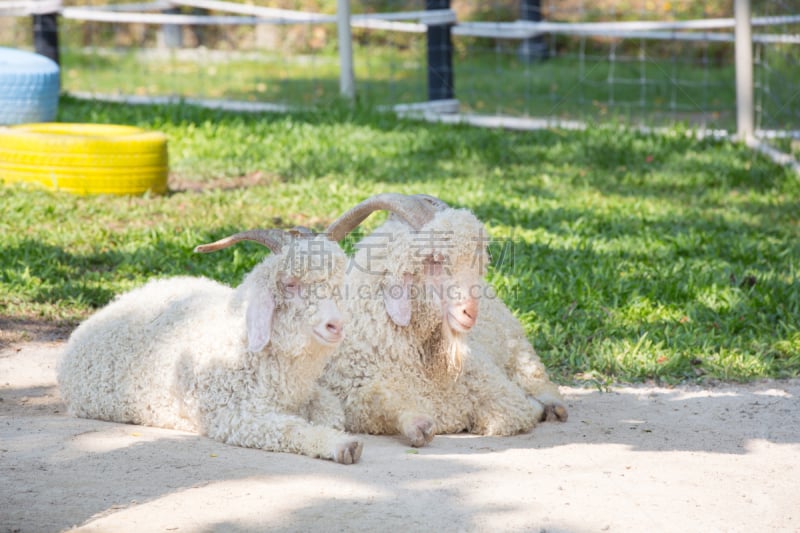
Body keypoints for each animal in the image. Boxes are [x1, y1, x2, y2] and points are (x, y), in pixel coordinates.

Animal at [57, 229, 364, 466]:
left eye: (336, 285)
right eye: (290, 284)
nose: (335, 325)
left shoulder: (309, 393)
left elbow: (331, 410)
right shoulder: (233, 416)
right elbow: (288, 428)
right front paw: (342, 446)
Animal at [322, 193, 564, 446]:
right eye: (434, 259)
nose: (471, 312)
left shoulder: (493, 386)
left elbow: (512, 413)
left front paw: (535, 406)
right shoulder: (353, 390)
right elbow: (378, 402)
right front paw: (416, 423)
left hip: (516, 344)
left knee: (533, 372)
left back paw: (552, 406)